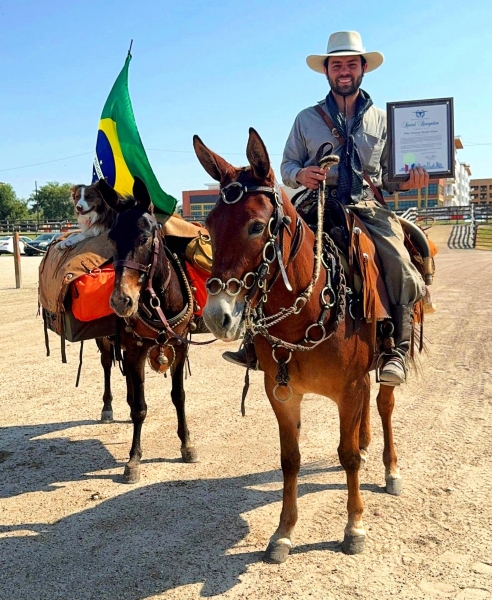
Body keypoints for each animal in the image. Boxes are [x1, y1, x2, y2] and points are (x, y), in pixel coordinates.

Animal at [194, 129, 406, 564]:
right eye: (208, 225)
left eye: (257, 226)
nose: (217, 316)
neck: (304, 317)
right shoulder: (283, 394)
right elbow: (290, 460)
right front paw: (283, 533)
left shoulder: (349, 389)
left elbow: (346, 457)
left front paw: (354, 528)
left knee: (384, 406)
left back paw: (390, 469)